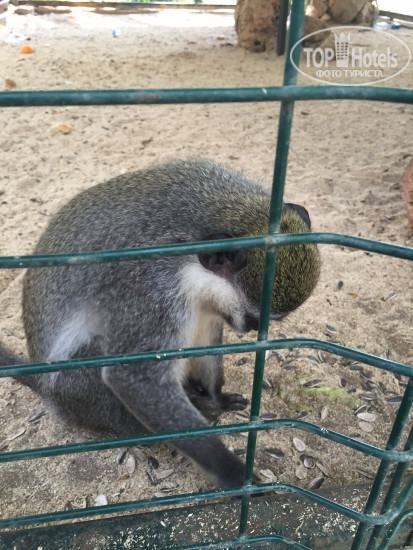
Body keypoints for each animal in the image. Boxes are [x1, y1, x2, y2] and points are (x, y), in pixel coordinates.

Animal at [0, 158, 320, 489]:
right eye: (255, 317)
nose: (251, 329)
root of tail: (50, 392)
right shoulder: (151, 286)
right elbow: (133, 377)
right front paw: (233, 473)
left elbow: (205, 336)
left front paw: (216, 396)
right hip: (77, 390)